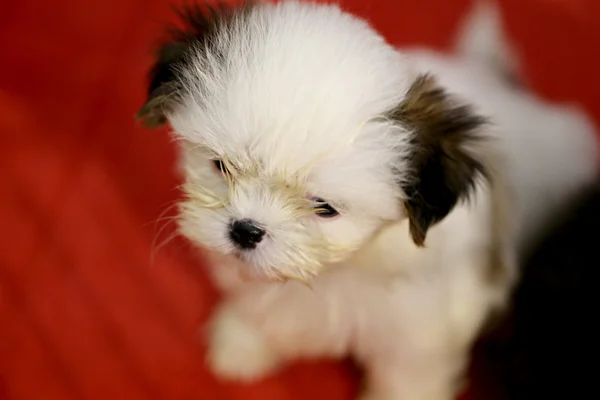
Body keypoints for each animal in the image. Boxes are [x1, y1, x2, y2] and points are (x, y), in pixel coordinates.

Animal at [138, 1, 596, 398]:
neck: (346, 266)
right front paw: (245, 340)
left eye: (324, 208)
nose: (246, 231)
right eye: (221, 166)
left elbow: (410, 371)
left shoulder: (428, 321)